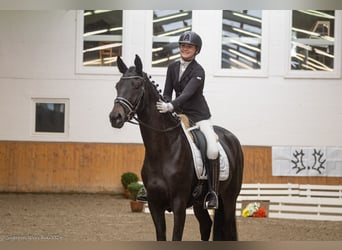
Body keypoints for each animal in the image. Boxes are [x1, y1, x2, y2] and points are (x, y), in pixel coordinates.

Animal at [109, 54, 243, 240]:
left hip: (229, 199)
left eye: (136, 85)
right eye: (117, 86)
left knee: (228, 228)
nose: (115, 117)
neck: (163, 151)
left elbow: (176, 236)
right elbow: (161, 236)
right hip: (199, 203)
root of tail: (232, 138)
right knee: (206, 225)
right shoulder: (154, 204)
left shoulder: (179, 204)